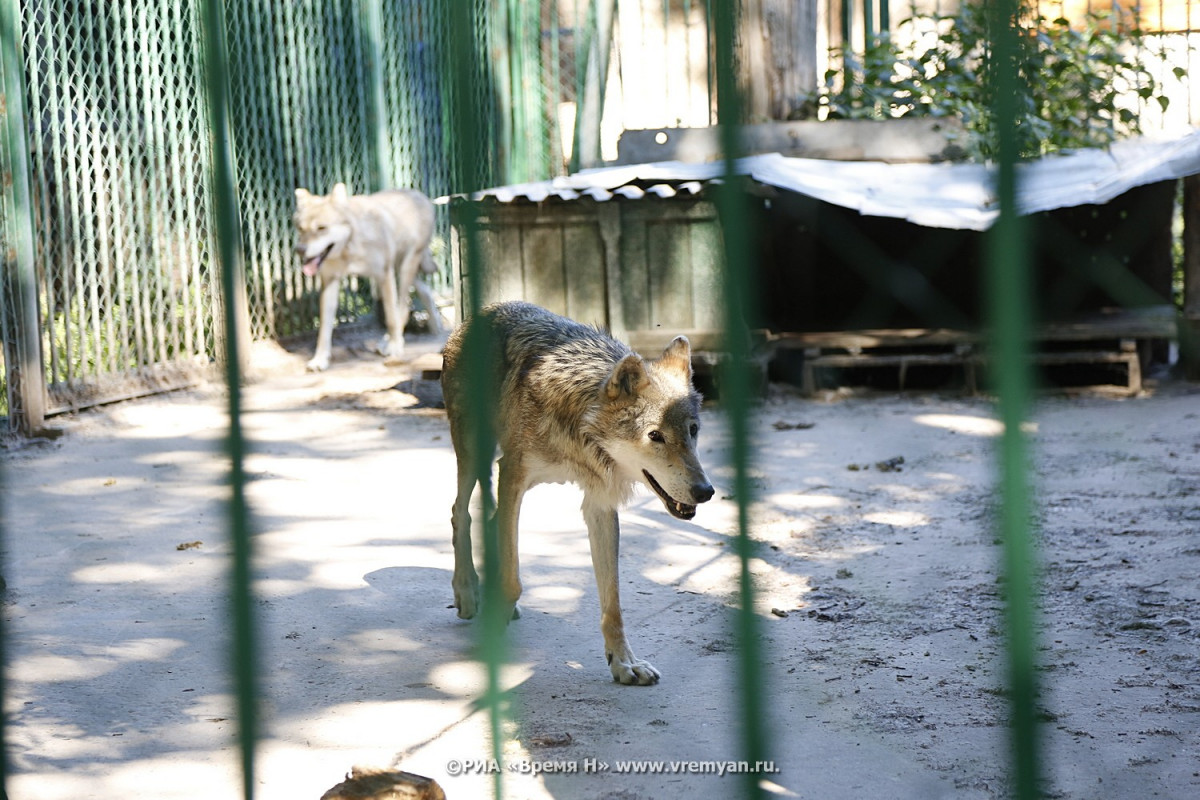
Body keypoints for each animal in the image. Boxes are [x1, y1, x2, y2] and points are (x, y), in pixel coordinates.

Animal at [292, 182, 444, 371]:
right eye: (301, 228)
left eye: (321, 228)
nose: (299, 250)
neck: (351, 247)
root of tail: (420, 194)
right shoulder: (330, 281)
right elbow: (324, 330)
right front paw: (319, 360)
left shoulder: (384, 275)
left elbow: (391, 318)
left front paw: (394, 347)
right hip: (402, 269)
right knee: (424, 292)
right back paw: (435, 327)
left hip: (403, 269)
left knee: (402, 309)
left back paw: (394, 342)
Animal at [441, 303, 710, 686]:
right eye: (655, 436)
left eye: (693, 431)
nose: (706, 491)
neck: (580, 426)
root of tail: (477, 315)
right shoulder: (512, 476)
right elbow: (514, 580)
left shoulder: (600, 501)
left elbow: (613, 603)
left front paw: (624, 663)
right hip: (475, 453)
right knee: (459, 513)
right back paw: (467, 591)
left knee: (488, 520)